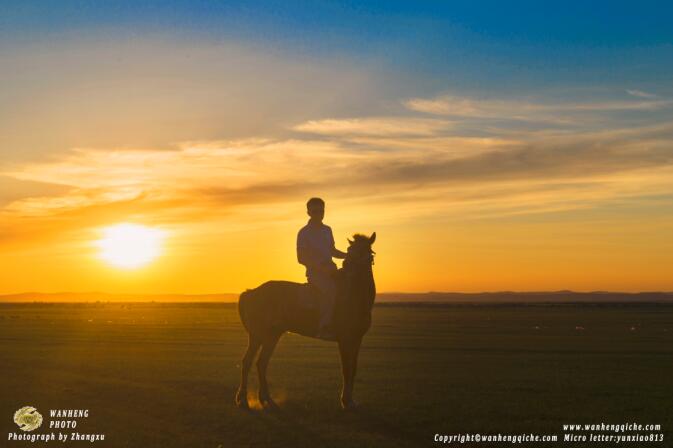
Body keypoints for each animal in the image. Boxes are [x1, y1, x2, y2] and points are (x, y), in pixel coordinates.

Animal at [235, 233, 372, 412]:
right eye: (350, 249)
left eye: (364, 251)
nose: (346, 266)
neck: (355, 295)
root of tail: (250, 292)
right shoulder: (344, 340)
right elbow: (346, 369)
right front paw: (346, 401)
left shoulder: (356, 339)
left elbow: (353, 368)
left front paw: (351, 401)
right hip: (262, 336)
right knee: (252, 362)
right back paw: (249, 399)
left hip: (267, 336)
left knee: (257, 363)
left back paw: (261, 399)